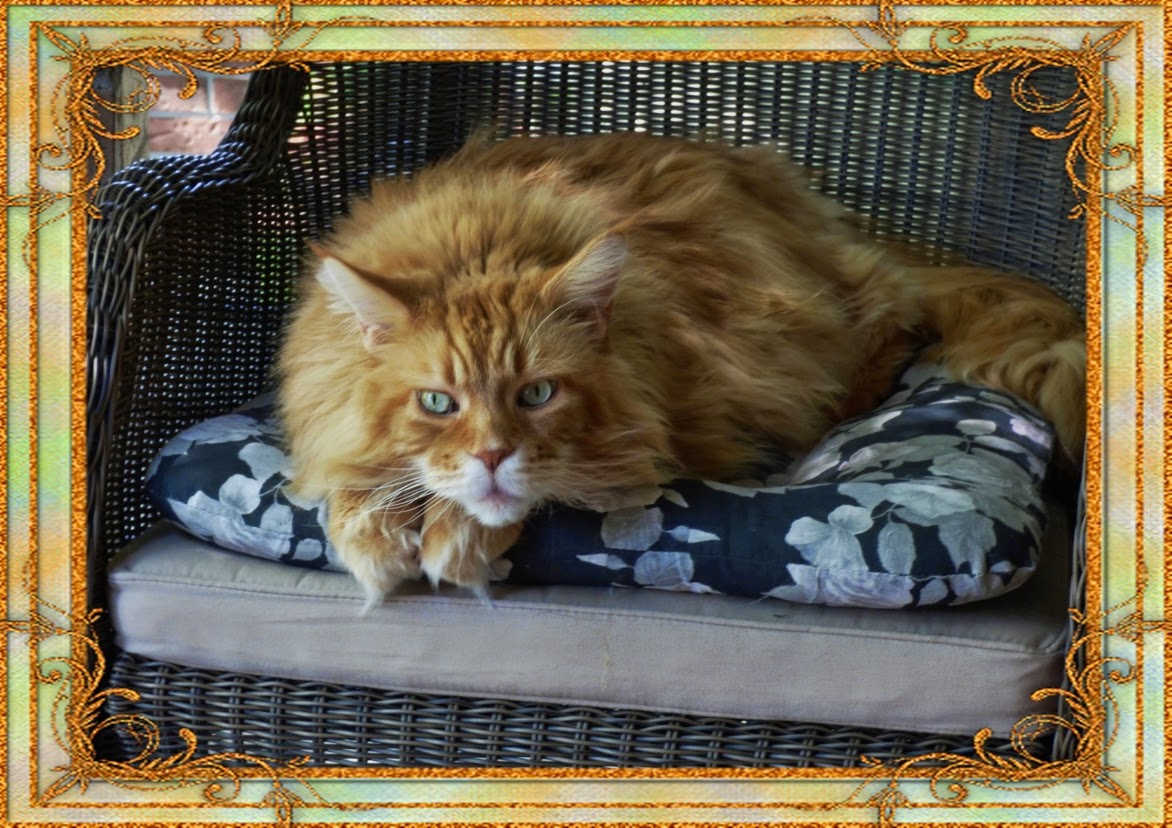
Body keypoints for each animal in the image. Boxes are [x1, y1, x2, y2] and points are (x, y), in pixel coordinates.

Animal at [276, 132, 1086, 609]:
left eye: (537, 393)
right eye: (438, 403)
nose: (492, 457)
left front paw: (452, 537)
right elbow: (350, 468)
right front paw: (371, 531)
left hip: (826, 317)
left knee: (896, 323)